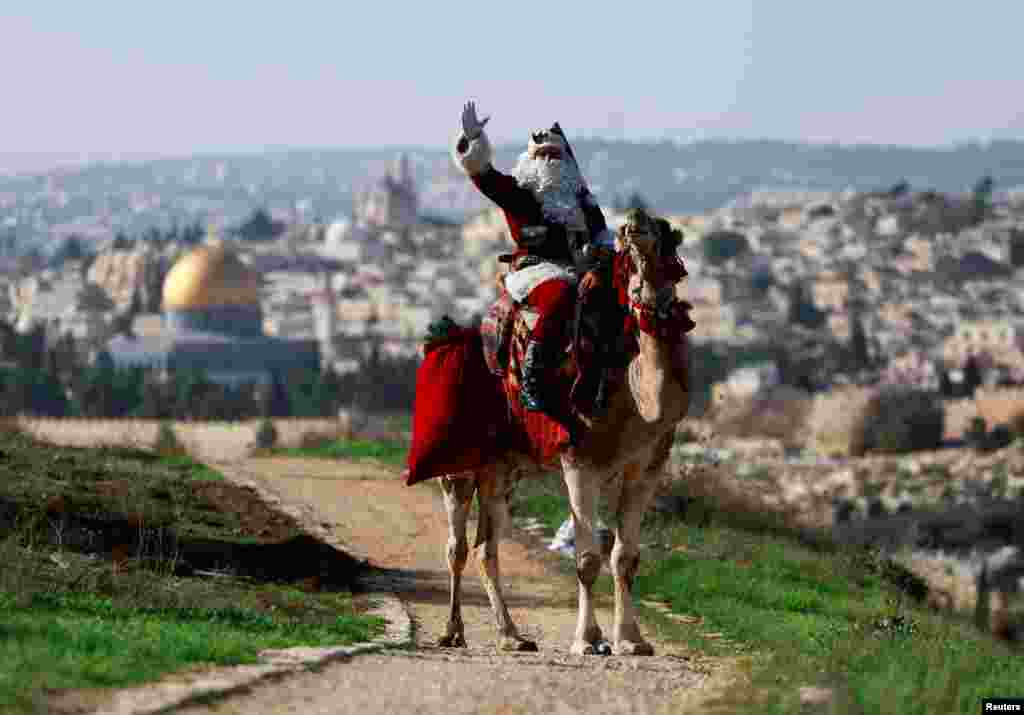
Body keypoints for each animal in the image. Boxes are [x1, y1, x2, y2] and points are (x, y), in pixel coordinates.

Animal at [436, 208, 692, 655]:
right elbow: (587, 559)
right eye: (628, 250)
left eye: (667, 235)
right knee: (457, 544)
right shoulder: (579, 462)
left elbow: (625, 558)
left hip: (503, 470)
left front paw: (632, 640)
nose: (635, 221)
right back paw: (453, 632)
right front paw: (588, 640)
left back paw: (512, 635)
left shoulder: (647, 467)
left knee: (487, 546)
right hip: (460, 462)